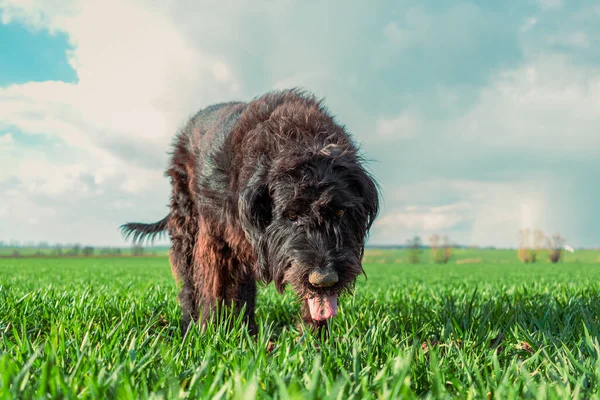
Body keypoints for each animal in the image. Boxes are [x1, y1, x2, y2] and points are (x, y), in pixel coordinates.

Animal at [120, 89, 378, 336]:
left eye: (340, 213)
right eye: (291, 216)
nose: (324, 280)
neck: (299, 140)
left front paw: (316, 341)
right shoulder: (213, 239)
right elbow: (212, 289)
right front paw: (208, 335)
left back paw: (247, 330)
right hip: (187, 228)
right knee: (190, 282)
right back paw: (190, 325)